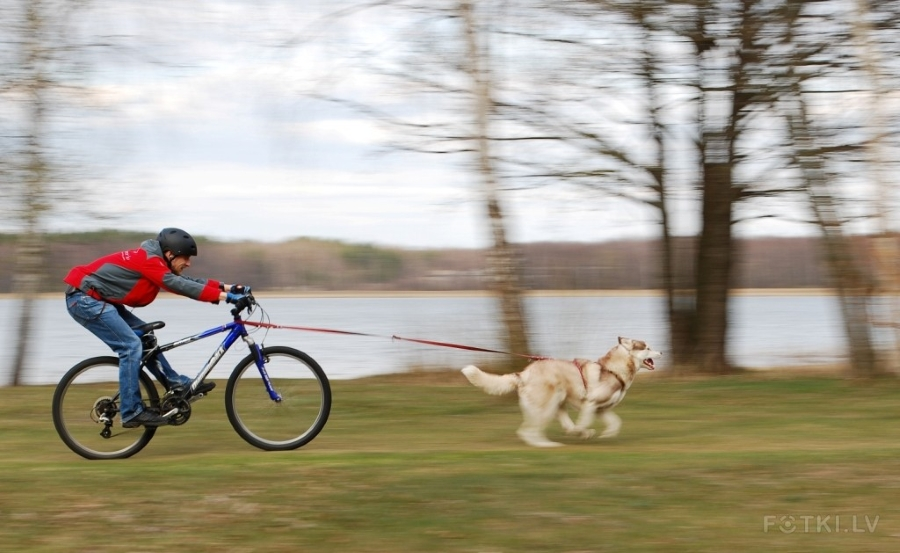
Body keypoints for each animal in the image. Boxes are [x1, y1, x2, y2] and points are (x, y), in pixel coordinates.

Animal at [460, 334, 656, 446]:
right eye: (648, 347)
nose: (660, 352)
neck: (613, 369)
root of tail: (523, 374)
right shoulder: (591, 404)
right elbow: (584, 421)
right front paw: (583, 430)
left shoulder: (602, 409)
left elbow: (616, 422)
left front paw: (606, 435)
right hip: (546, 406)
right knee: (528, 431)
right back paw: (547, 445)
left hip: (556, 403)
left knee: (562, 425)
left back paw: (577, 434)